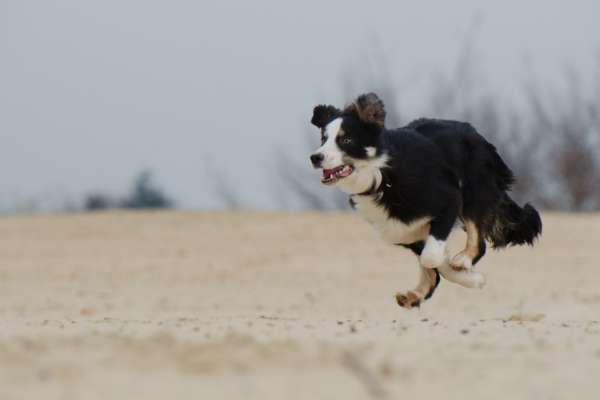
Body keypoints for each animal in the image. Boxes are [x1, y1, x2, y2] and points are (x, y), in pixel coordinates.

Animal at [310, 92, 544, 308]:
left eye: (346, 140)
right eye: (323, 139)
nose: (315, 157)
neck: (382, 177)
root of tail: (475, 132)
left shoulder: (449, 200)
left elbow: (431, 257)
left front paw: (471, 277)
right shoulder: (400, 230)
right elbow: (432, 261)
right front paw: (469, 278)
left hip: (473, 192)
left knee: (478, 240)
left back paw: (462, 261)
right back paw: (413, 295)